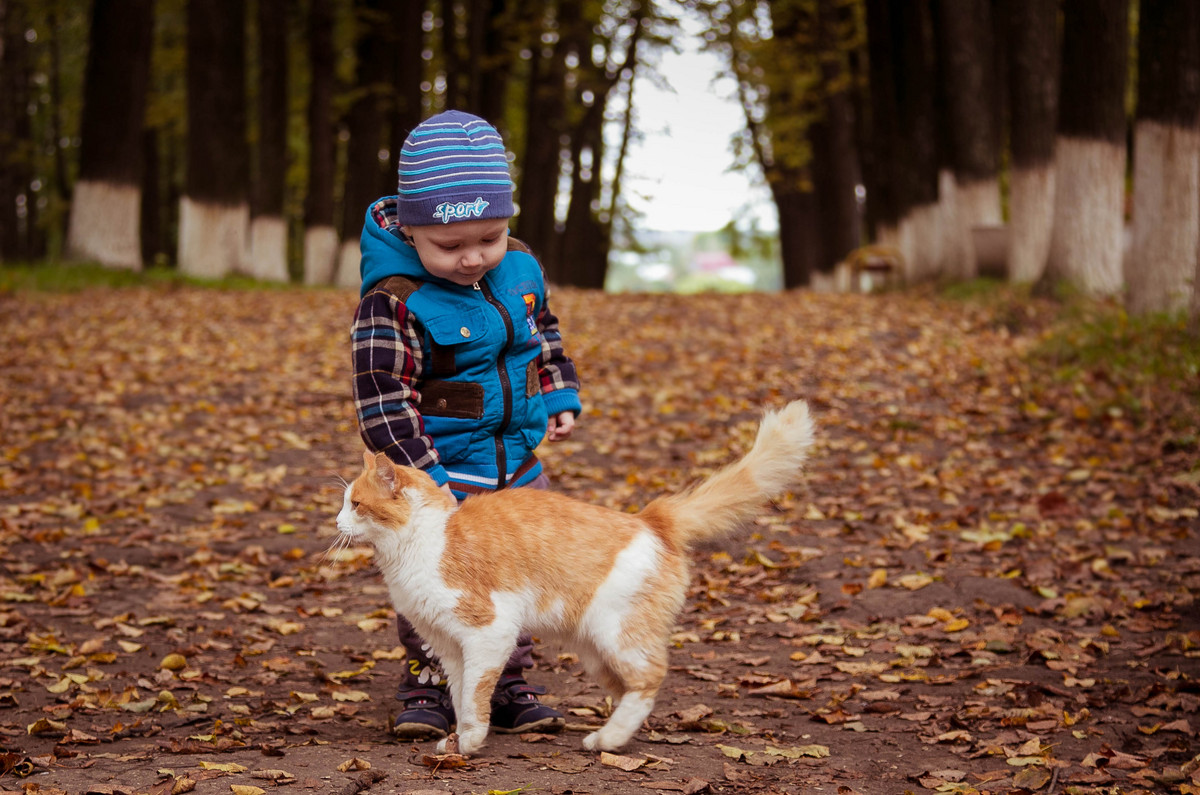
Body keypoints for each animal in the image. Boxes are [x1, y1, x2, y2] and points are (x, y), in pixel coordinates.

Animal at [333, 401, 811, 758]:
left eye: (355, 504)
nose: (336, 521)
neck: (423, 538)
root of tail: (650, 519)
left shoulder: (490, 632)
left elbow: (475, 695)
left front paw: (471, 741)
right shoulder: (449, 647)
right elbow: (460, 694)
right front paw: (460, 739)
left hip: (617, 635)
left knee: (650, 679)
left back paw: (609, 740)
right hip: (596, 652)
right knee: (632, 691)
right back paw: (613, 735)